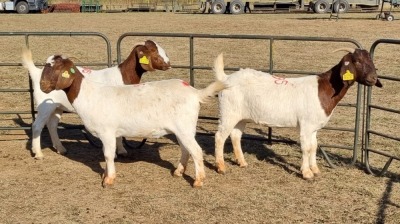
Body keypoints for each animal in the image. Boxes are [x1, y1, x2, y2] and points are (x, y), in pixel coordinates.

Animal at [21, 40, 170, 159]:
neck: (123, 76)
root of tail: (37, 73)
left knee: (52, 125)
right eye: (153, 51)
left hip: (57, 107)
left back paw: (61, 149)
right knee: (37, 126)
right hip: (44, 106)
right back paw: (38, 153)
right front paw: (116, 153)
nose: (168, 64)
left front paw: (121, 150)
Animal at [35, 50, 225, 187]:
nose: (42, 86)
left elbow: (108, 155)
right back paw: (178, 172)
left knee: (196, 151)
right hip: (182, 129)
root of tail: (195, 93)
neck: (89, 95)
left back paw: (198, 181)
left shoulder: (107, 132)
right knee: (186, 149)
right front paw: (106, 175)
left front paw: (108, 179)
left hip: (184, 127)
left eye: (57, 69)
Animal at [214, 48, 382, 178]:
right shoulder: (306, 125)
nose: (373, 78)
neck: (324, 89)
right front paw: (306, 173)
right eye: (357, 61)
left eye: (371, 61)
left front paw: (315, 169)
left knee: (235, 136)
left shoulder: (313, 127)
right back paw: (221, 167)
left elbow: (314, 146)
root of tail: (226, 78)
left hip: (240, 116)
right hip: (228, 113)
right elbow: (306, 148)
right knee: (220, 136)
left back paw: (242, 162)